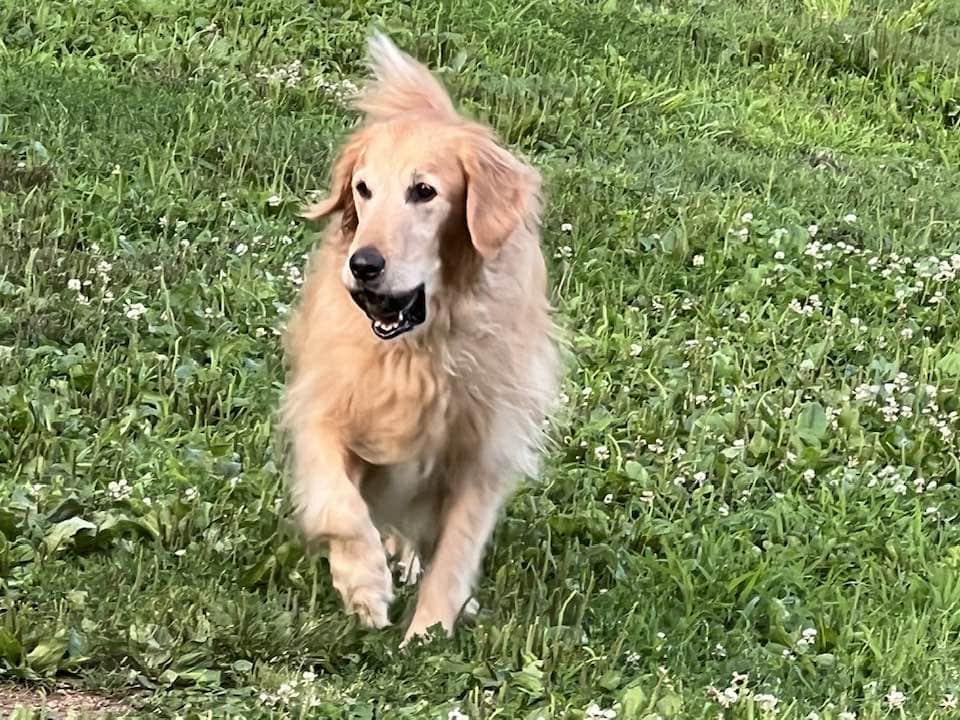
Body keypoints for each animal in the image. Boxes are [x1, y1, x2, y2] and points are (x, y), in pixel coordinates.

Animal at [282, 32, 560, 648]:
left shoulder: (483, 451)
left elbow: (456, 552)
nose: (363, 265)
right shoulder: (323, 409)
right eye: (362, 189)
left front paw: (427, 633)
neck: (416, 351)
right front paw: (365, 587)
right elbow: (340, 507)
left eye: (424, 191)